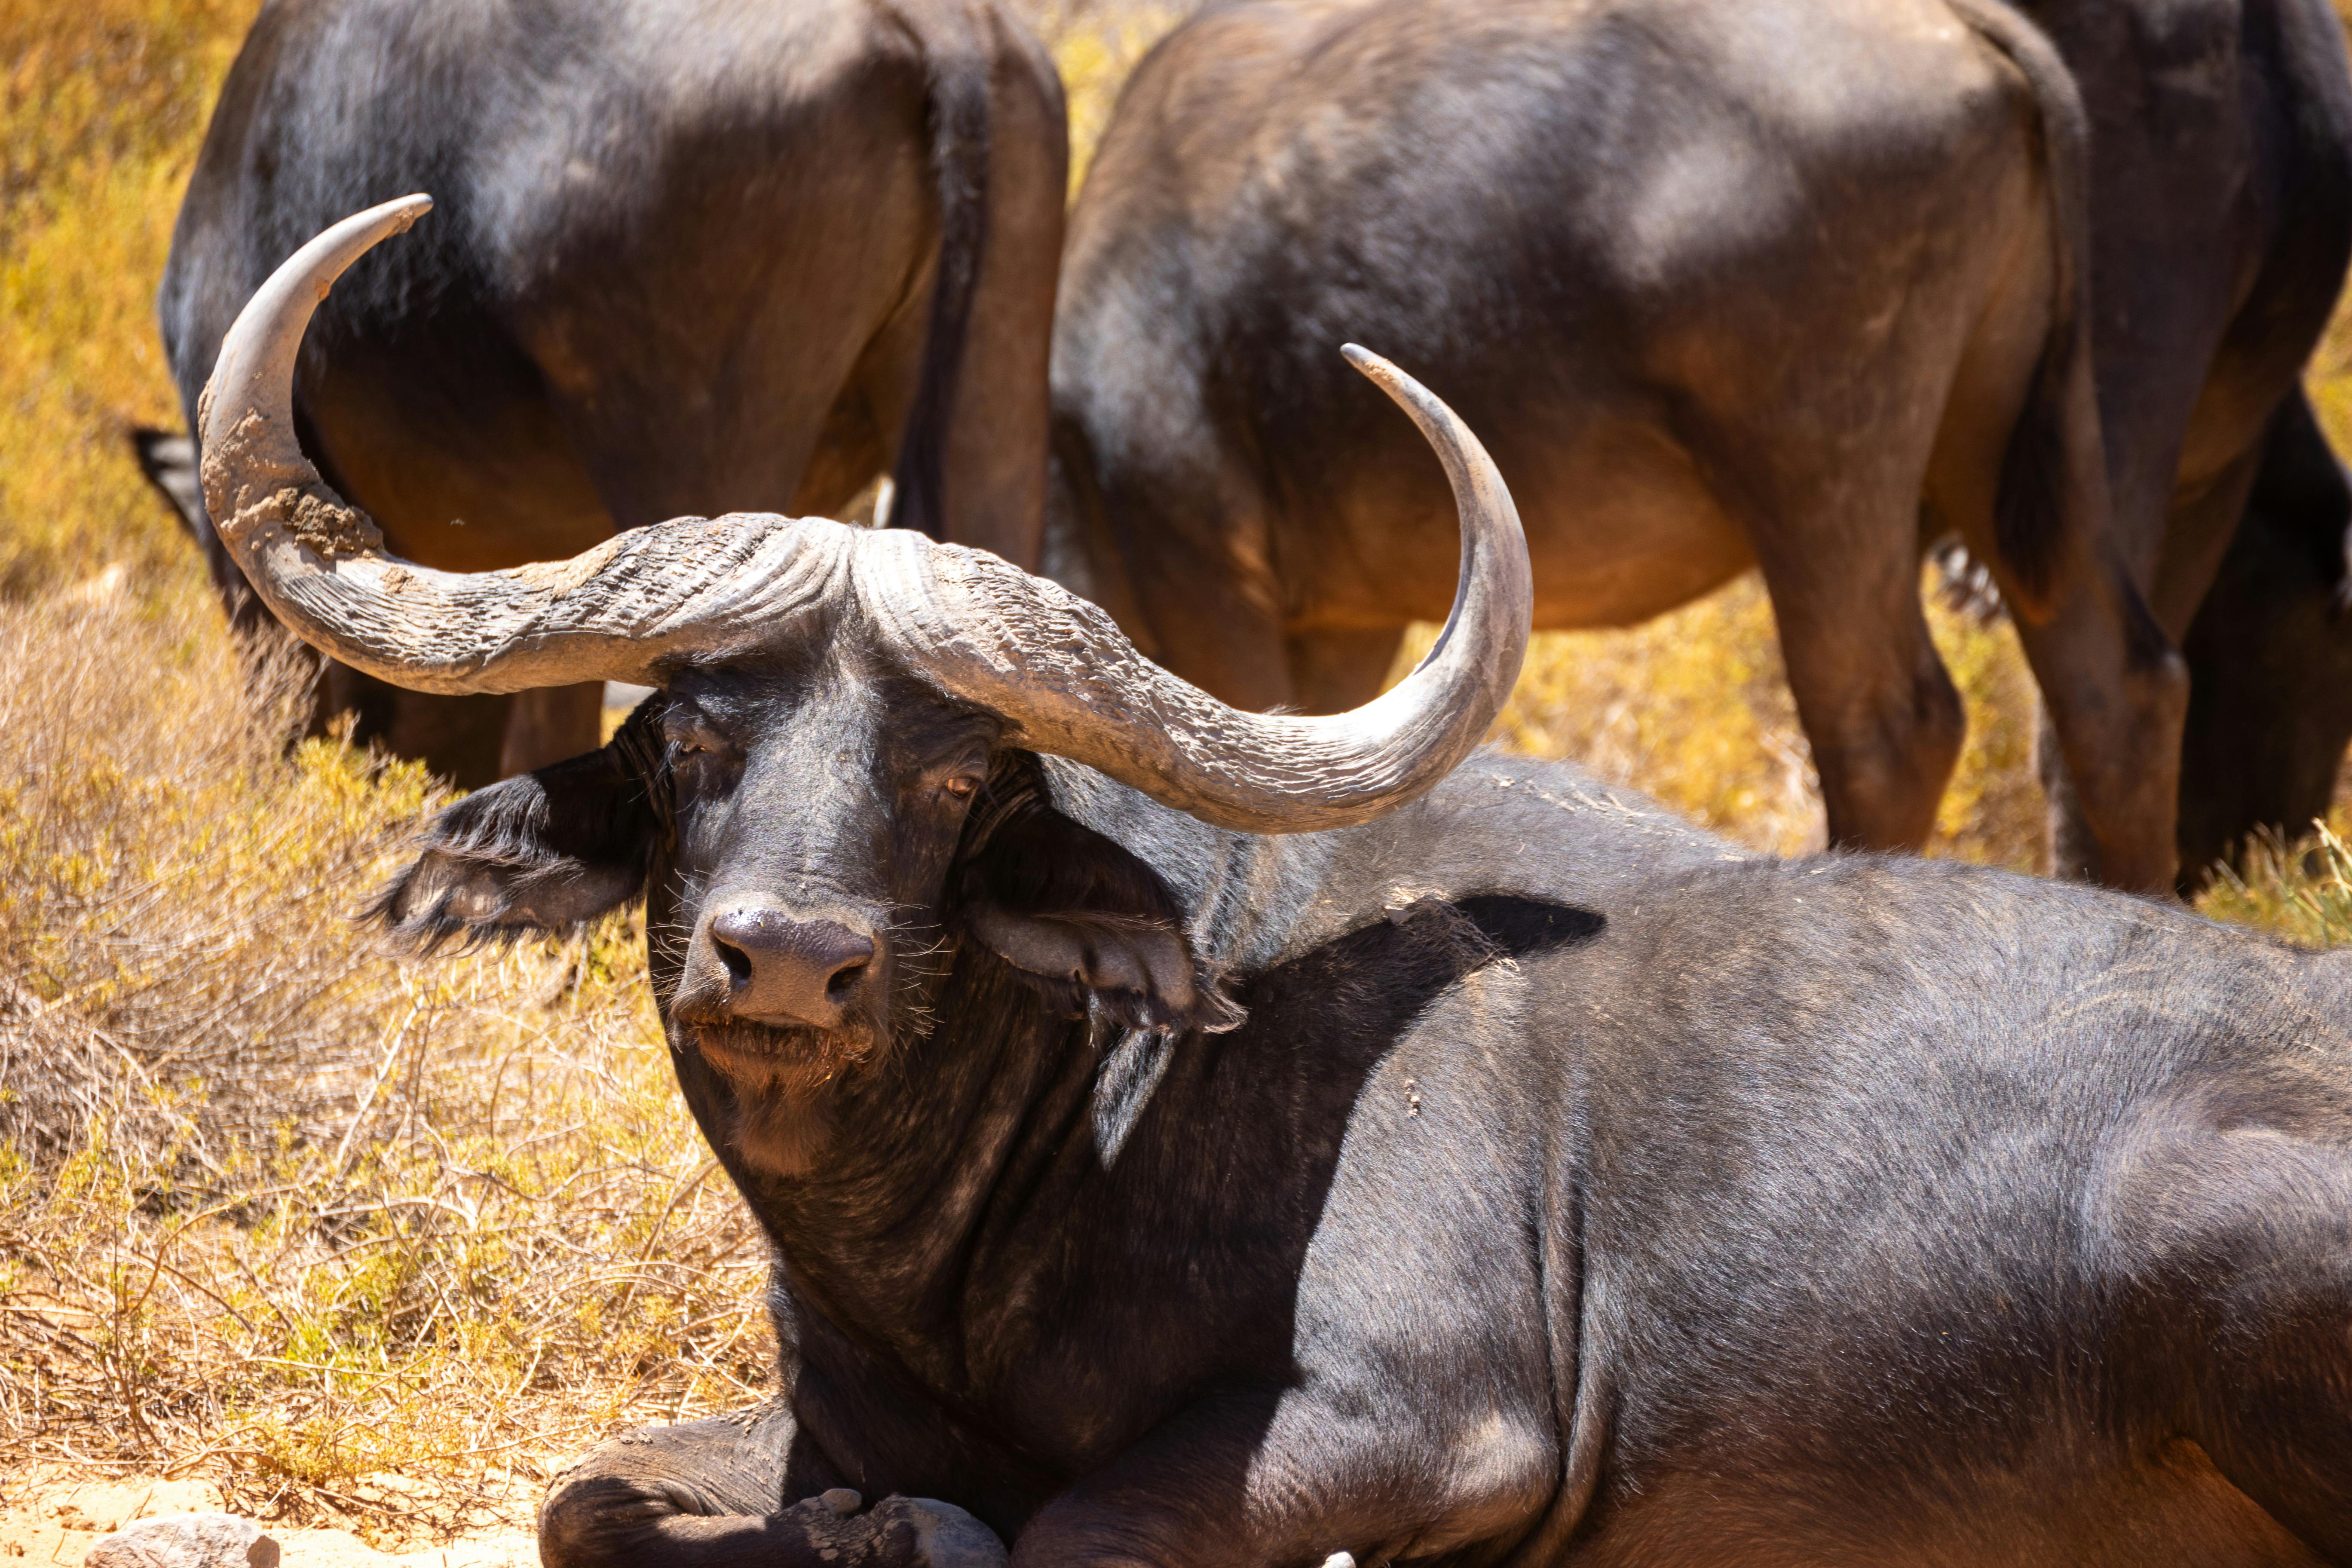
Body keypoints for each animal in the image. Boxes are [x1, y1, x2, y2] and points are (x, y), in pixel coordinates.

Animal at [194, 199, 2352, 1568]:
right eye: (692, 738)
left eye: (956, 773)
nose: (789, 961)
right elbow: (593, 1498)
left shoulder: (1402, 1420)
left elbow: (1068, 1527)